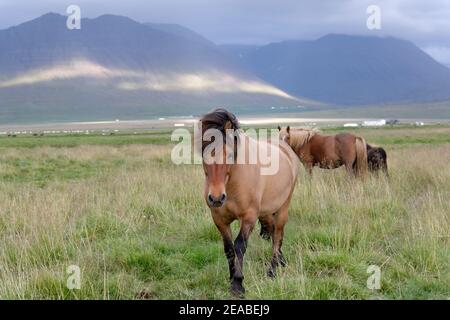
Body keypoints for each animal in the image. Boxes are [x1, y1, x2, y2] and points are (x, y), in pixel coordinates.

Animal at [200, 109, 298, 296]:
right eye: (203, 154)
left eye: (230, 154)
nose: (216, 198)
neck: (232, 183)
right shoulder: (219, 220)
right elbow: (229, 248)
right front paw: (232, 277)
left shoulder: (249, 217)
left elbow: (239, 246)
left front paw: (238, 284)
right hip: (266, 211)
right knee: (273, 230)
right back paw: (281, 261)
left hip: (284, 205)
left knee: (277, 234)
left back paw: (272, 270)